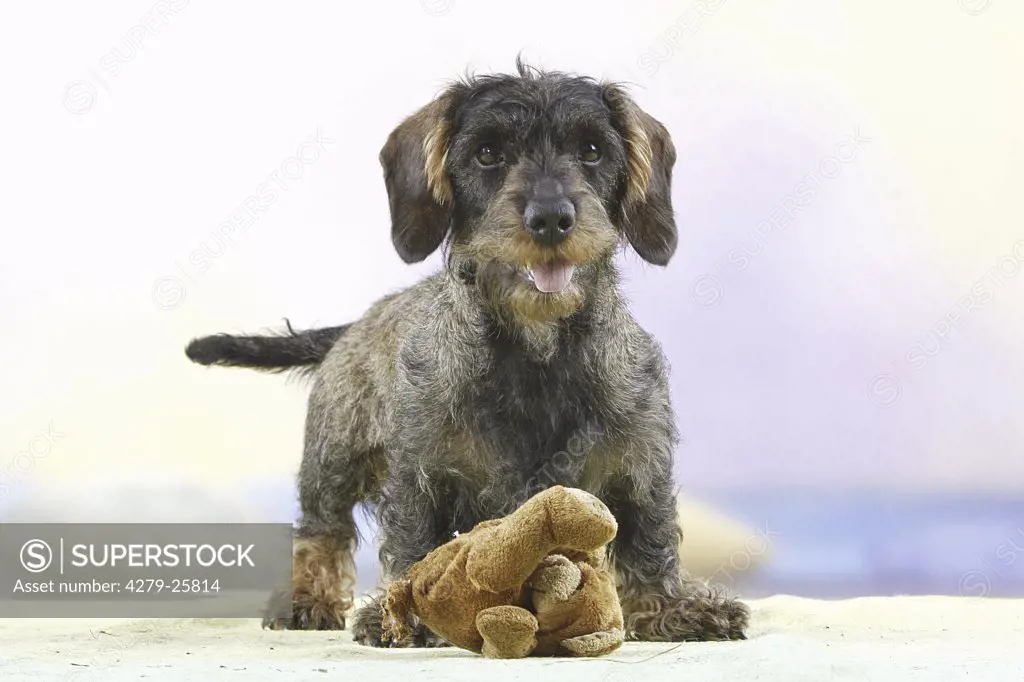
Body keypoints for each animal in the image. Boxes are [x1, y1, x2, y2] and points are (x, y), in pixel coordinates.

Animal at [186, 59, 745, 643]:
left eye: (592, 150)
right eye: (488, 153)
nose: (550, 218)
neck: (537, 350)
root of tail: (357, 324)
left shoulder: (640, 461)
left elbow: (649, 540)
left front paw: (671, 608)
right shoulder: (419, 473)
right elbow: (412, 542)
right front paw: (405, 613)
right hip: (332, 463)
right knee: (322, 533)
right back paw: (306, 598)